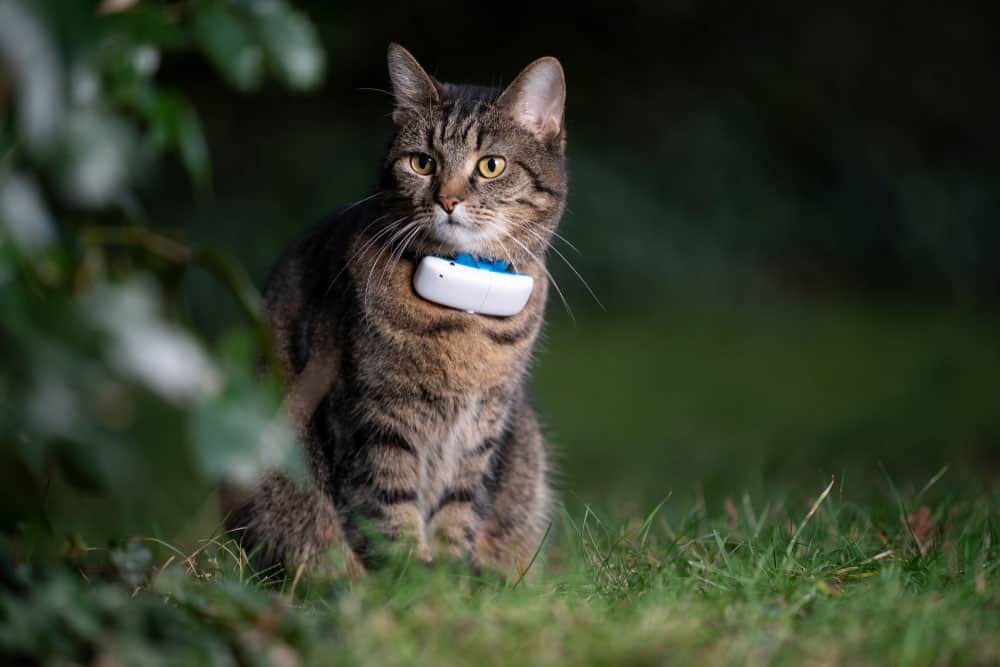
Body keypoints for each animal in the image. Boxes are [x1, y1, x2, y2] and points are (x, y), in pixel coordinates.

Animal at [225, 44, 572, 576]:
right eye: (422, 163)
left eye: (491, 166)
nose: (447, 199)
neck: (465, 310)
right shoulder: (371, 414)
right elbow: (387, 507)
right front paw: (410, 579)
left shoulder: (484, 425)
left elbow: (458, 507)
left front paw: (448, 574)